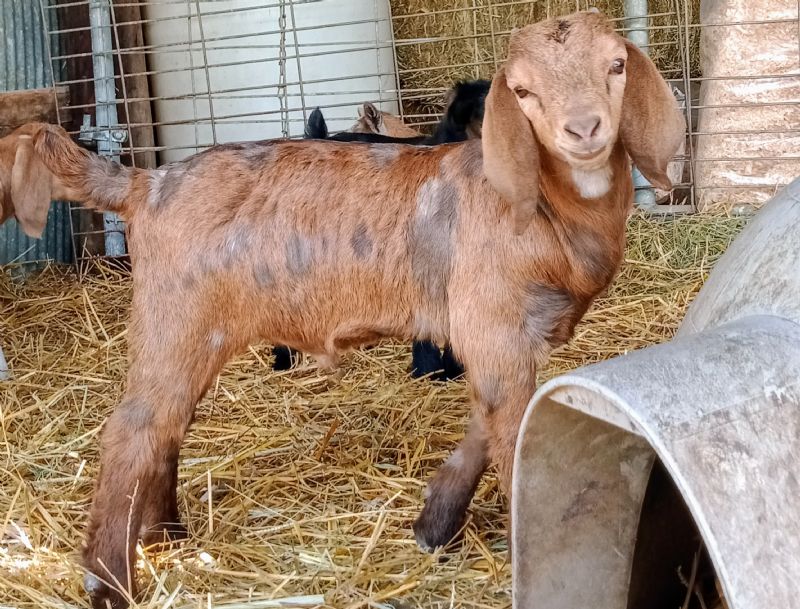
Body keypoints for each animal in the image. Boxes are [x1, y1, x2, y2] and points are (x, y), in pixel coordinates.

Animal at [1, 11, 684, 608]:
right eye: (521, 90)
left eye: (617, 64)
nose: (585, 130)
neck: (551, 212)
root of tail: (145, 184)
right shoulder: (495, 325)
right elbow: (514, 442)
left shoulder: (505, 338)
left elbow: (485, 425)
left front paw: (434, 522)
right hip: (175, 315)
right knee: (132, 429)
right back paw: (108, 583)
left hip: (197, 329)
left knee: (165, 425)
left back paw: (166, 536)